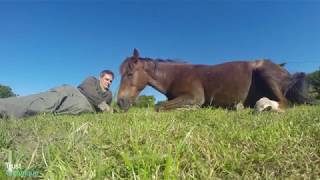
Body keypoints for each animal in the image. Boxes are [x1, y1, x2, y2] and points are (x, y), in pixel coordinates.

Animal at [117, 48, 310, 112]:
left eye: (129, 74)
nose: (120, 102)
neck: (176, 76)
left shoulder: (194, 97)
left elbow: (159, 107)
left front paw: (190, 109)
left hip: (266, 75)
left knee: (284, 103)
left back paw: (263, 106)